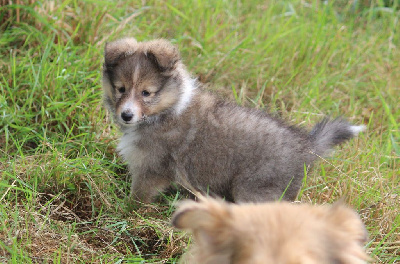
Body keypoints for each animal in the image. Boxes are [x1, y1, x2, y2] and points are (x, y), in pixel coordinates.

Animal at [101, 37, 364, 202]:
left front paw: (126, 213)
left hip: (255, 189)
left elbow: (138, 198)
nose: (126, 115)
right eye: (120, 89)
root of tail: (307, 146)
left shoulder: (151, 170)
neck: (167, 110)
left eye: (146, 93)